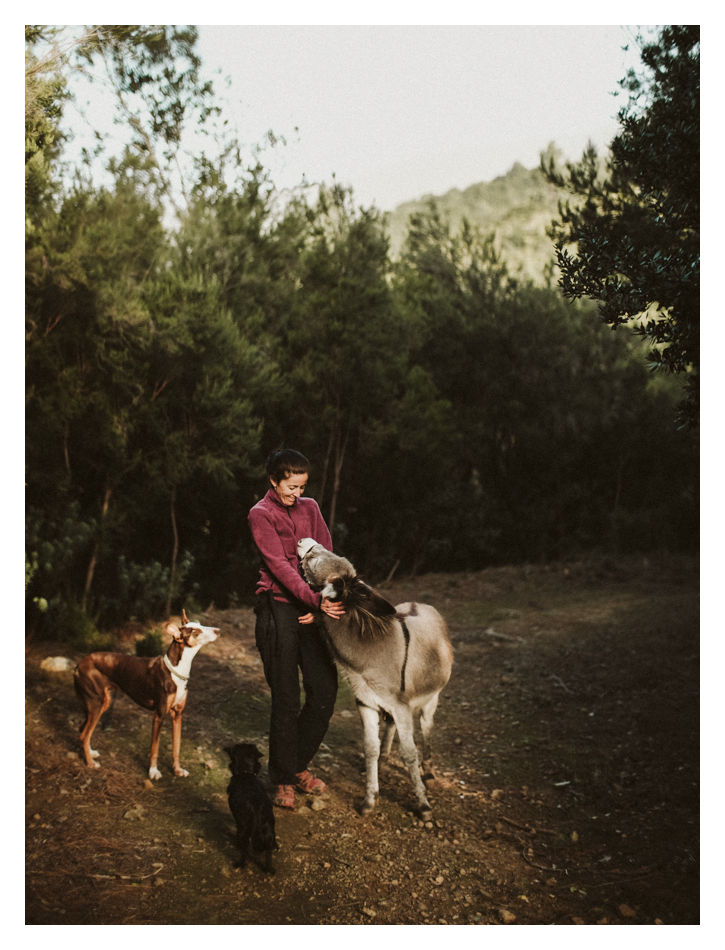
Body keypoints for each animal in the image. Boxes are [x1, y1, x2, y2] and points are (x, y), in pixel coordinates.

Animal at [75, 612, 221, 784]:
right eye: (195, 631)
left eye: (200, 624)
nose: (218, 630)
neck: (177, 670)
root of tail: (79, 664)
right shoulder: (159, 715)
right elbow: (155, 748)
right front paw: (153, 771)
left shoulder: (178, 715)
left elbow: (176, 747)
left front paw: (177, 770)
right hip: (96, 704)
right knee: (84, 734)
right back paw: (90, 762)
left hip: (104, 703)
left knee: (84, 732)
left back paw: (91, 753)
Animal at [223, 744, 278, 876]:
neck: (245, 773)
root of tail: (257, 809)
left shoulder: (238, 820)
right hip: (269, 832)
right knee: (268, 854)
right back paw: (269, 869)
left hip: (246, 830)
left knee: (244, 851)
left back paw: (239, 864)